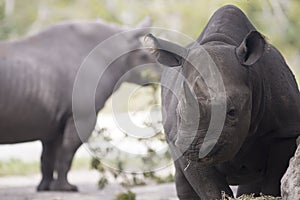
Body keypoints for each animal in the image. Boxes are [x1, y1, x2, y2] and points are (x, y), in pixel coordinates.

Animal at [147, 4, 300, 200]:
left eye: (232, 112)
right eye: (180, 113)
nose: (195, 147)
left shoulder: (284, 131)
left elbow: (273, 181)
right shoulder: (181, 140)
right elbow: (210, 189)